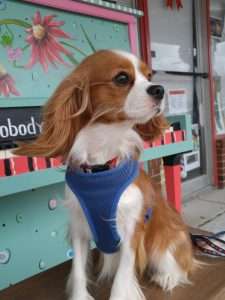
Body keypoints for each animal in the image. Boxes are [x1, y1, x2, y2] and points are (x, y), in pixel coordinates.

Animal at [14, 49, 196, 300]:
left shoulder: (132, 230)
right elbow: (78, 272)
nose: (159, 89)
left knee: (176, 262)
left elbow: (121, 281)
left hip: (165, 238)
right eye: (122, 78)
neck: (101, 168)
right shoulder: (79, 229)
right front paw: (80, 296)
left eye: (149, 76)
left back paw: (167, 276)